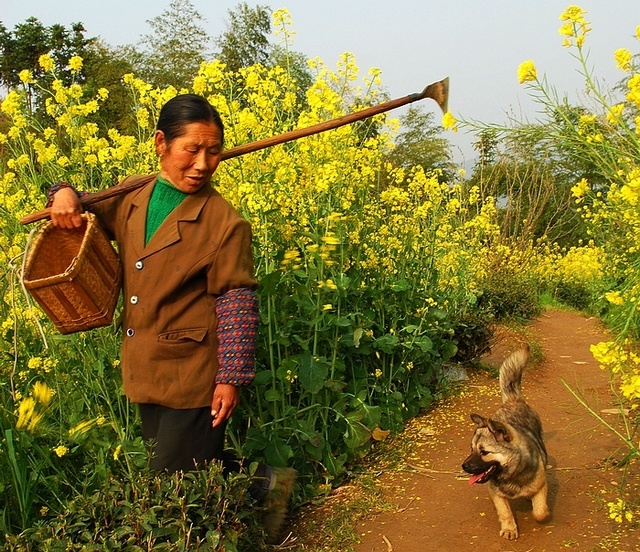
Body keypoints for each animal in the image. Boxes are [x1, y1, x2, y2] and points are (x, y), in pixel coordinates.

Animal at [460, 344, 552, 540]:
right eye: (471, 449)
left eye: (484, 452)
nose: (464, 466)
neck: (512, 473)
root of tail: (513, 400)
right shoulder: (495, 493)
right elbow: (505, 512)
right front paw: (510, 528)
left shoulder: (541, 486)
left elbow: (540, 512)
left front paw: (541, 512)